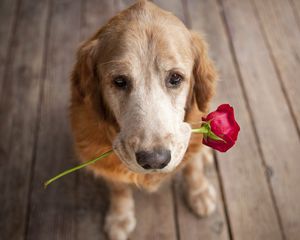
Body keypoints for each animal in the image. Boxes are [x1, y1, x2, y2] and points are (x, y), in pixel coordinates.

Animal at [70, 0, 218, 239]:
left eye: (175, 78)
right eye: (119, 81)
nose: (155, 160)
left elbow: (192, 167)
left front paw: (199, 192)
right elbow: (118, 187)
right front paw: (120, 216)